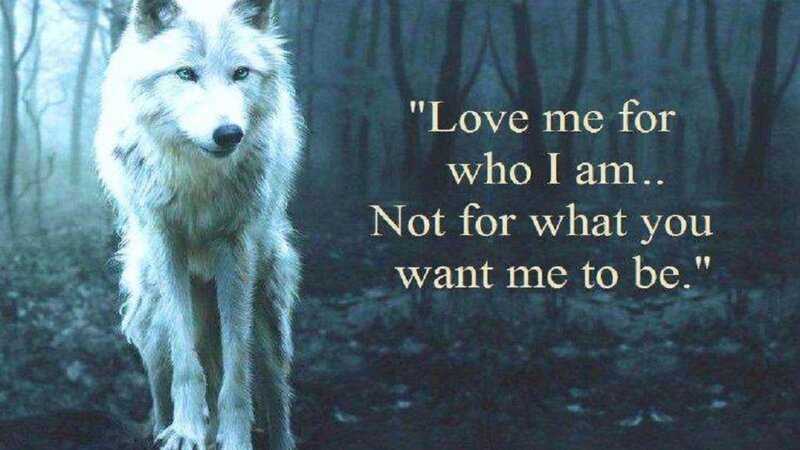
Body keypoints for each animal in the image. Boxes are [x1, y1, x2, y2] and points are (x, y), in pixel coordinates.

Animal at [94, 0, 302, 449]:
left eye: (241, 73)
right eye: (186, 73)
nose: (228, 133)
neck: (197, 177)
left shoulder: (236, 250)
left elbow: (237, 371)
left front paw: (236, 437)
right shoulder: (165, 243)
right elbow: (187, 360)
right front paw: (187, 430)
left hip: (268, 313)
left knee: (275, 390)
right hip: (152, 325)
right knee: (166, 383)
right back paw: (171, 428)